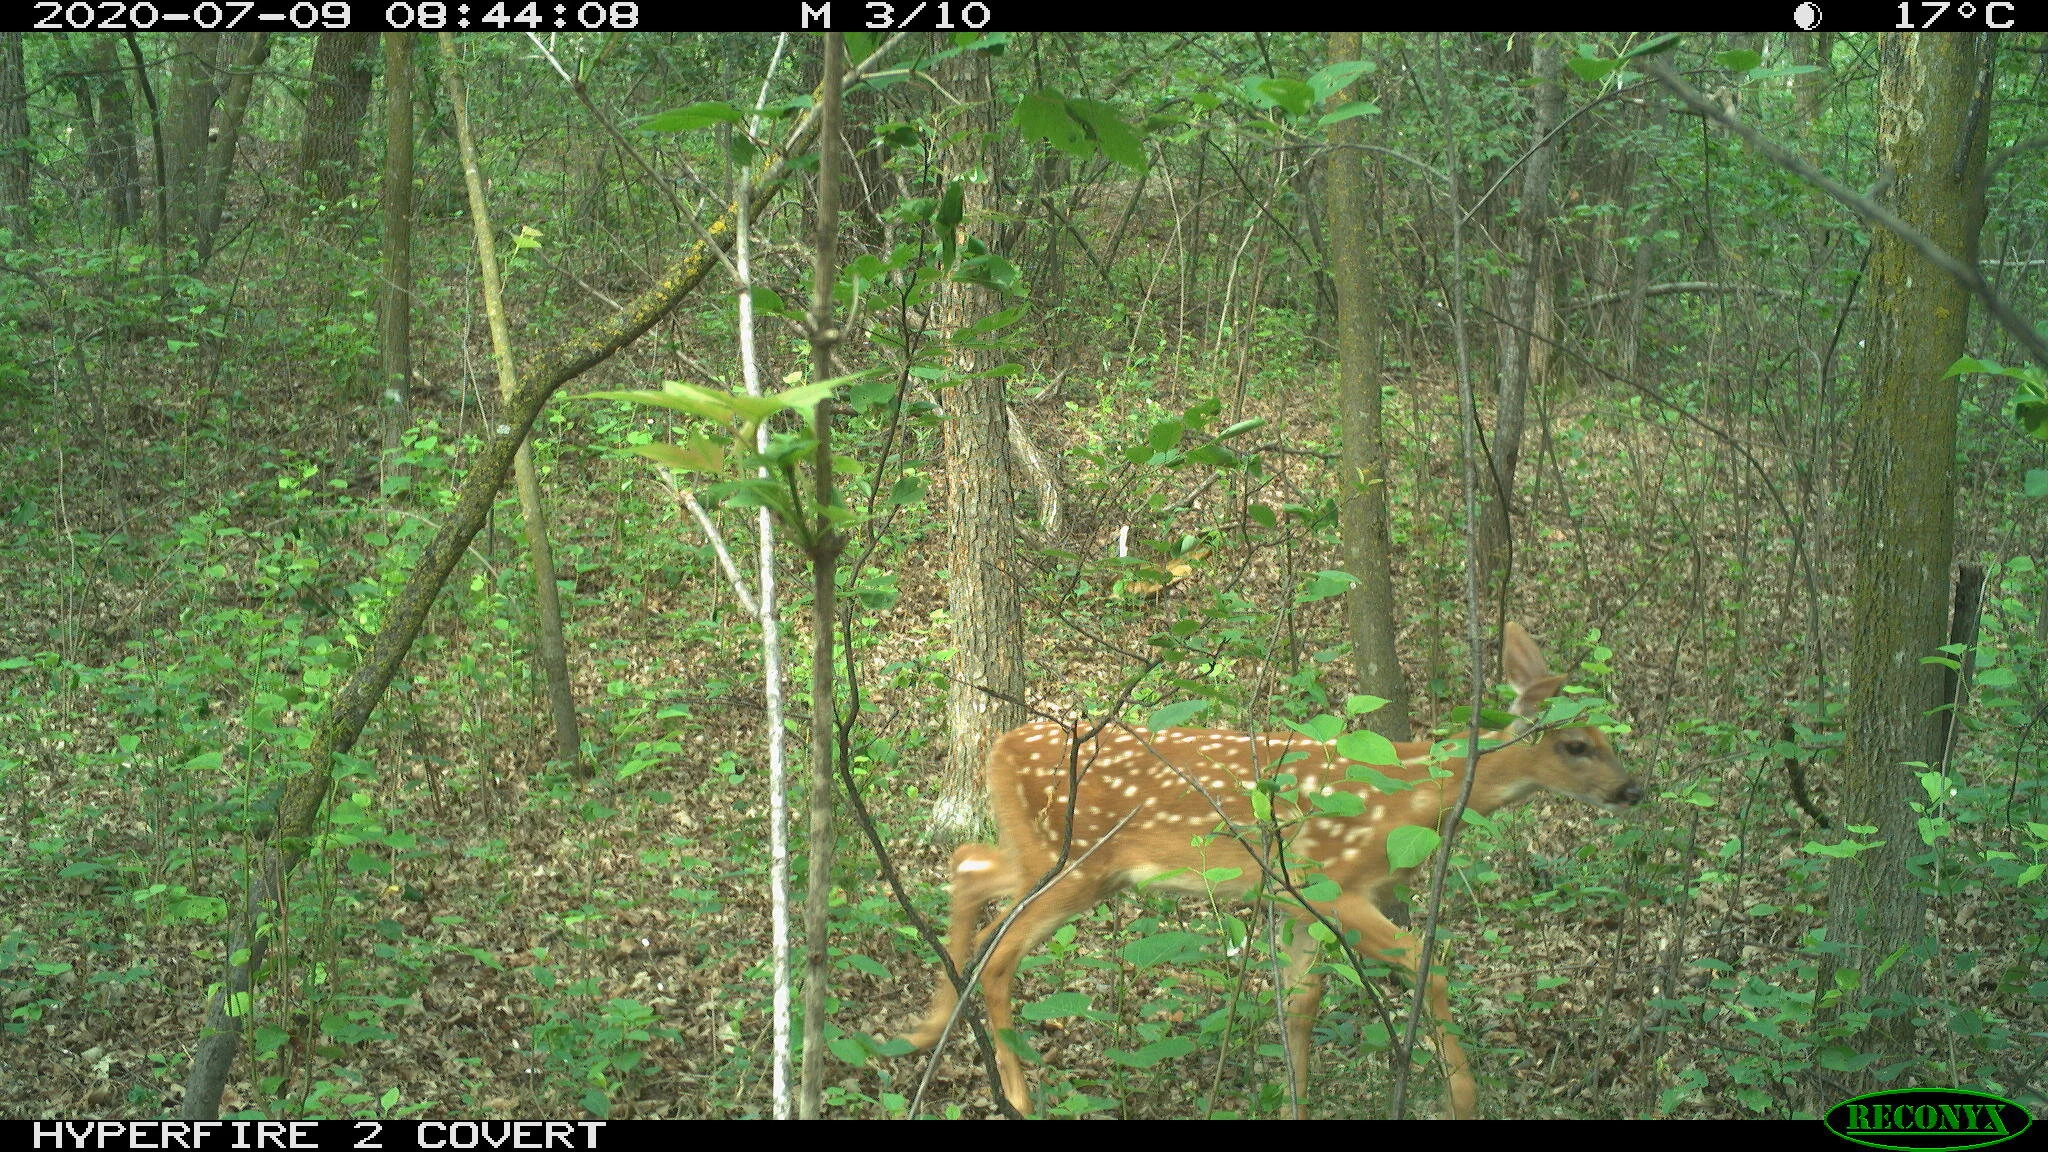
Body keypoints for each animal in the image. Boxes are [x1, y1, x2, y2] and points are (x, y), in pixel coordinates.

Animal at [904, 623, 1642, 1118]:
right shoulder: (1333, 883)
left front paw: (1295, 1104)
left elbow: (1300, 1007)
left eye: (1610, 737)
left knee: (968, 864)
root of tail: (999, 746)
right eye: (1577, 745)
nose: (1633, 790)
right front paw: (1464, 1098)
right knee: (999, 951)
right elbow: (1422, 962)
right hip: (1075, 862)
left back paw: (924, 1028)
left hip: (1057, 857)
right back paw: (1018, 1094)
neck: (1409, 798)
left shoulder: (1295, 905)